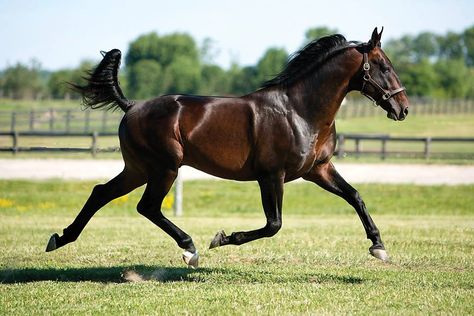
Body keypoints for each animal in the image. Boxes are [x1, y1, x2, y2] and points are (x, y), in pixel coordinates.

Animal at [46, 28, 408, 268]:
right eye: (384, 67)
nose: (402, 109)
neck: (299, 110)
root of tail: (132, 105)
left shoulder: (318, 170)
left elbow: (355, 196)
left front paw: (379, 246)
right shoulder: (271, 176)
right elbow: (273, 225)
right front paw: (221, 238)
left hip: (138, 169)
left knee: (101, 193)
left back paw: (60, 238)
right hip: (164, 168)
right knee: (147, 207)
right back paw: (190, 249)